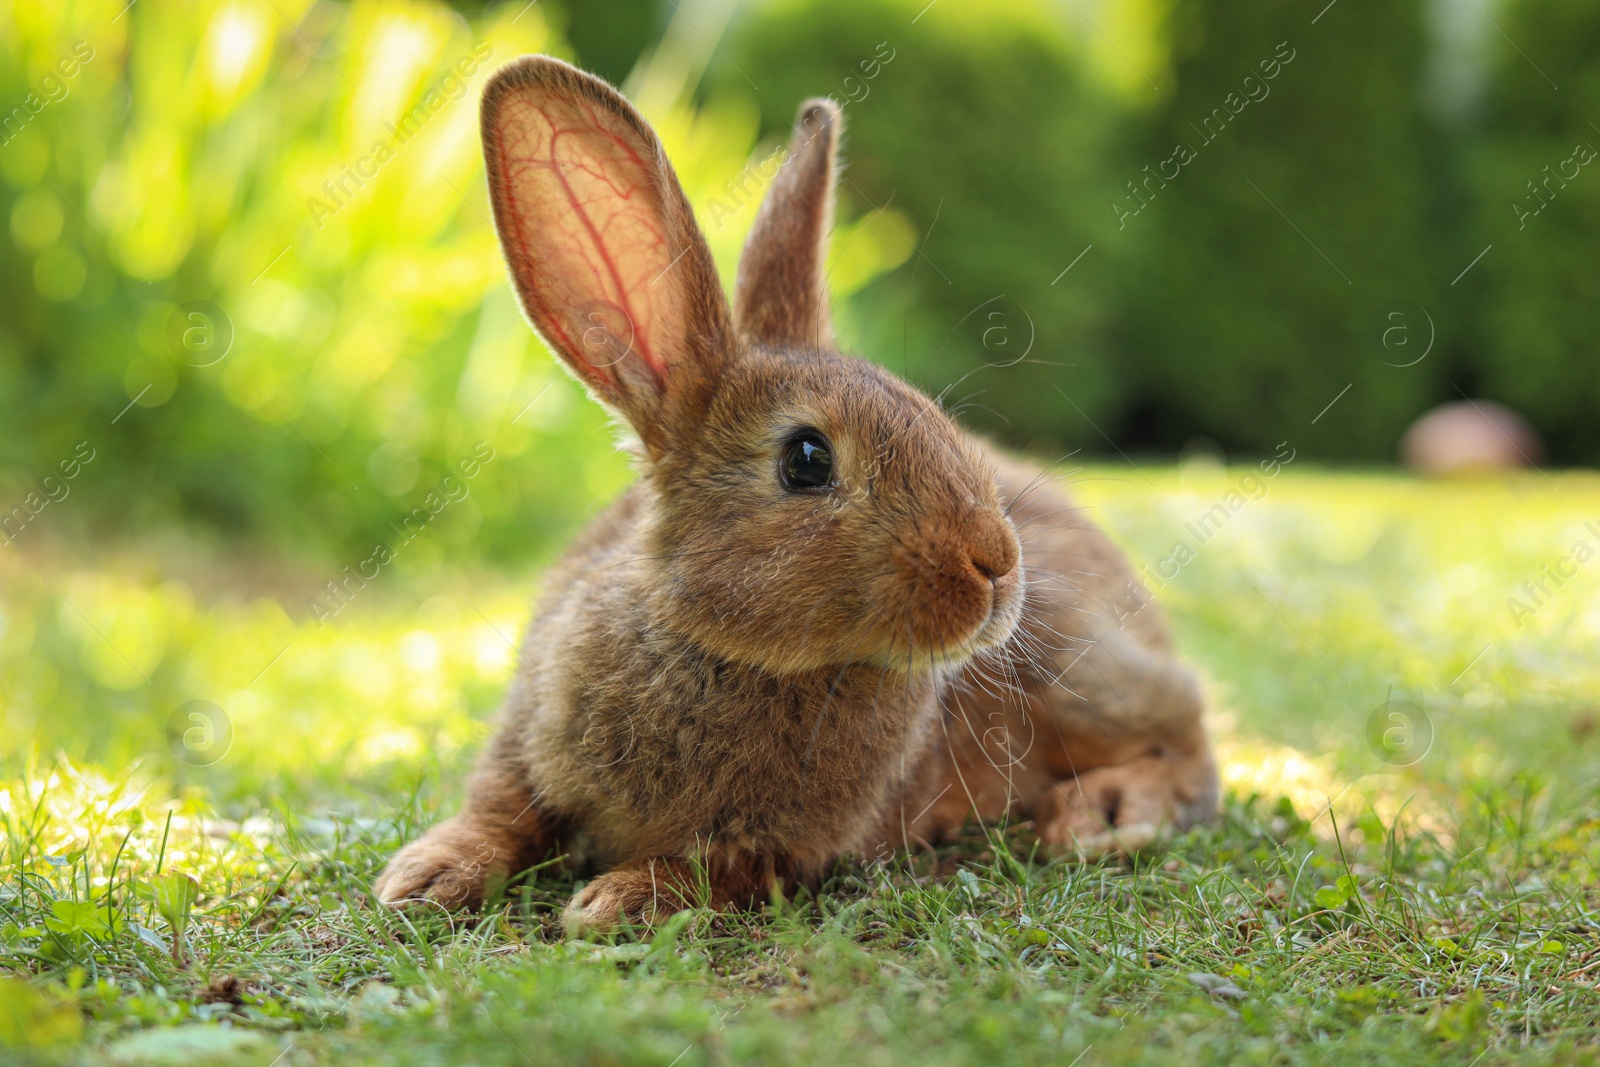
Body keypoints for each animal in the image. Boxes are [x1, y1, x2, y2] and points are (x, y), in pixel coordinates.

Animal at [374, 56, 1216, 934]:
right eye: (806, 460)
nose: (996, 563)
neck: (720, 643)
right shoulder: (525, 740)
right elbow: (502, 809)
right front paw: (423, 875)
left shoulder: (779, 846)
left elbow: (709, 872)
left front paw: (614, 900)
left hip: (1076, 667)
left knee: (1188, 735)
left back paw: (1104, 814)